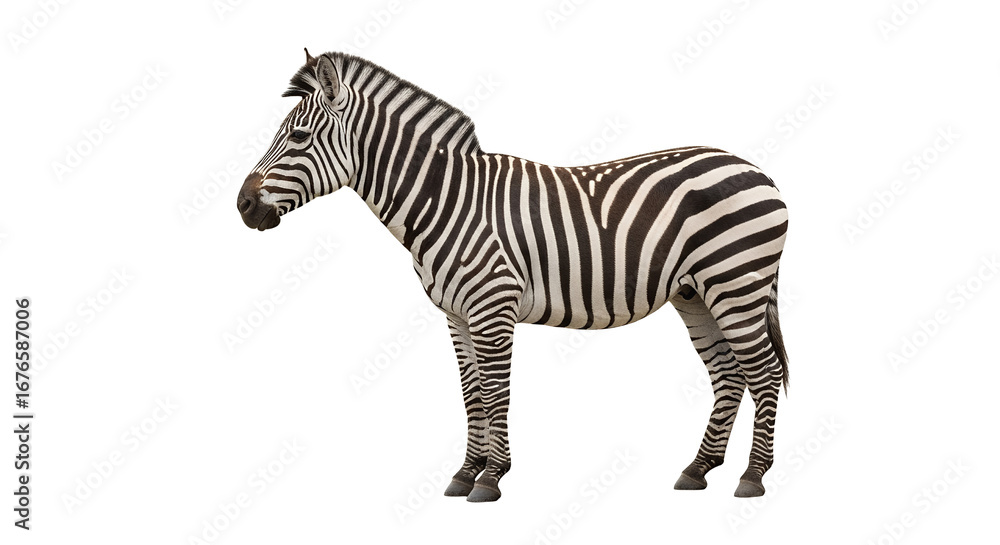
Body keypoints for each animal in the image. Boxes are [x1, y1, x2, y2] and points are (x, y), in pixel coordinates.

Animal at [237, 50, 790, 502]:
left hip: (736, 285)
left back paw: (752, 477)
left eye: (299, 137)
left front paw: (491, 478)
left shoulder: (492, 308)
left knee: (764, 373)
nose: (243, 206)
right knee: (729, 375)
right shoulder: (457, 316)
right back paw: (698, 469)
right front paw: (465, 473)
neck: (448, 202)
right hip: (696, 294)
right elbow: (471, 394)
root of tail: (759, 170)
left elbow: (496, 391)